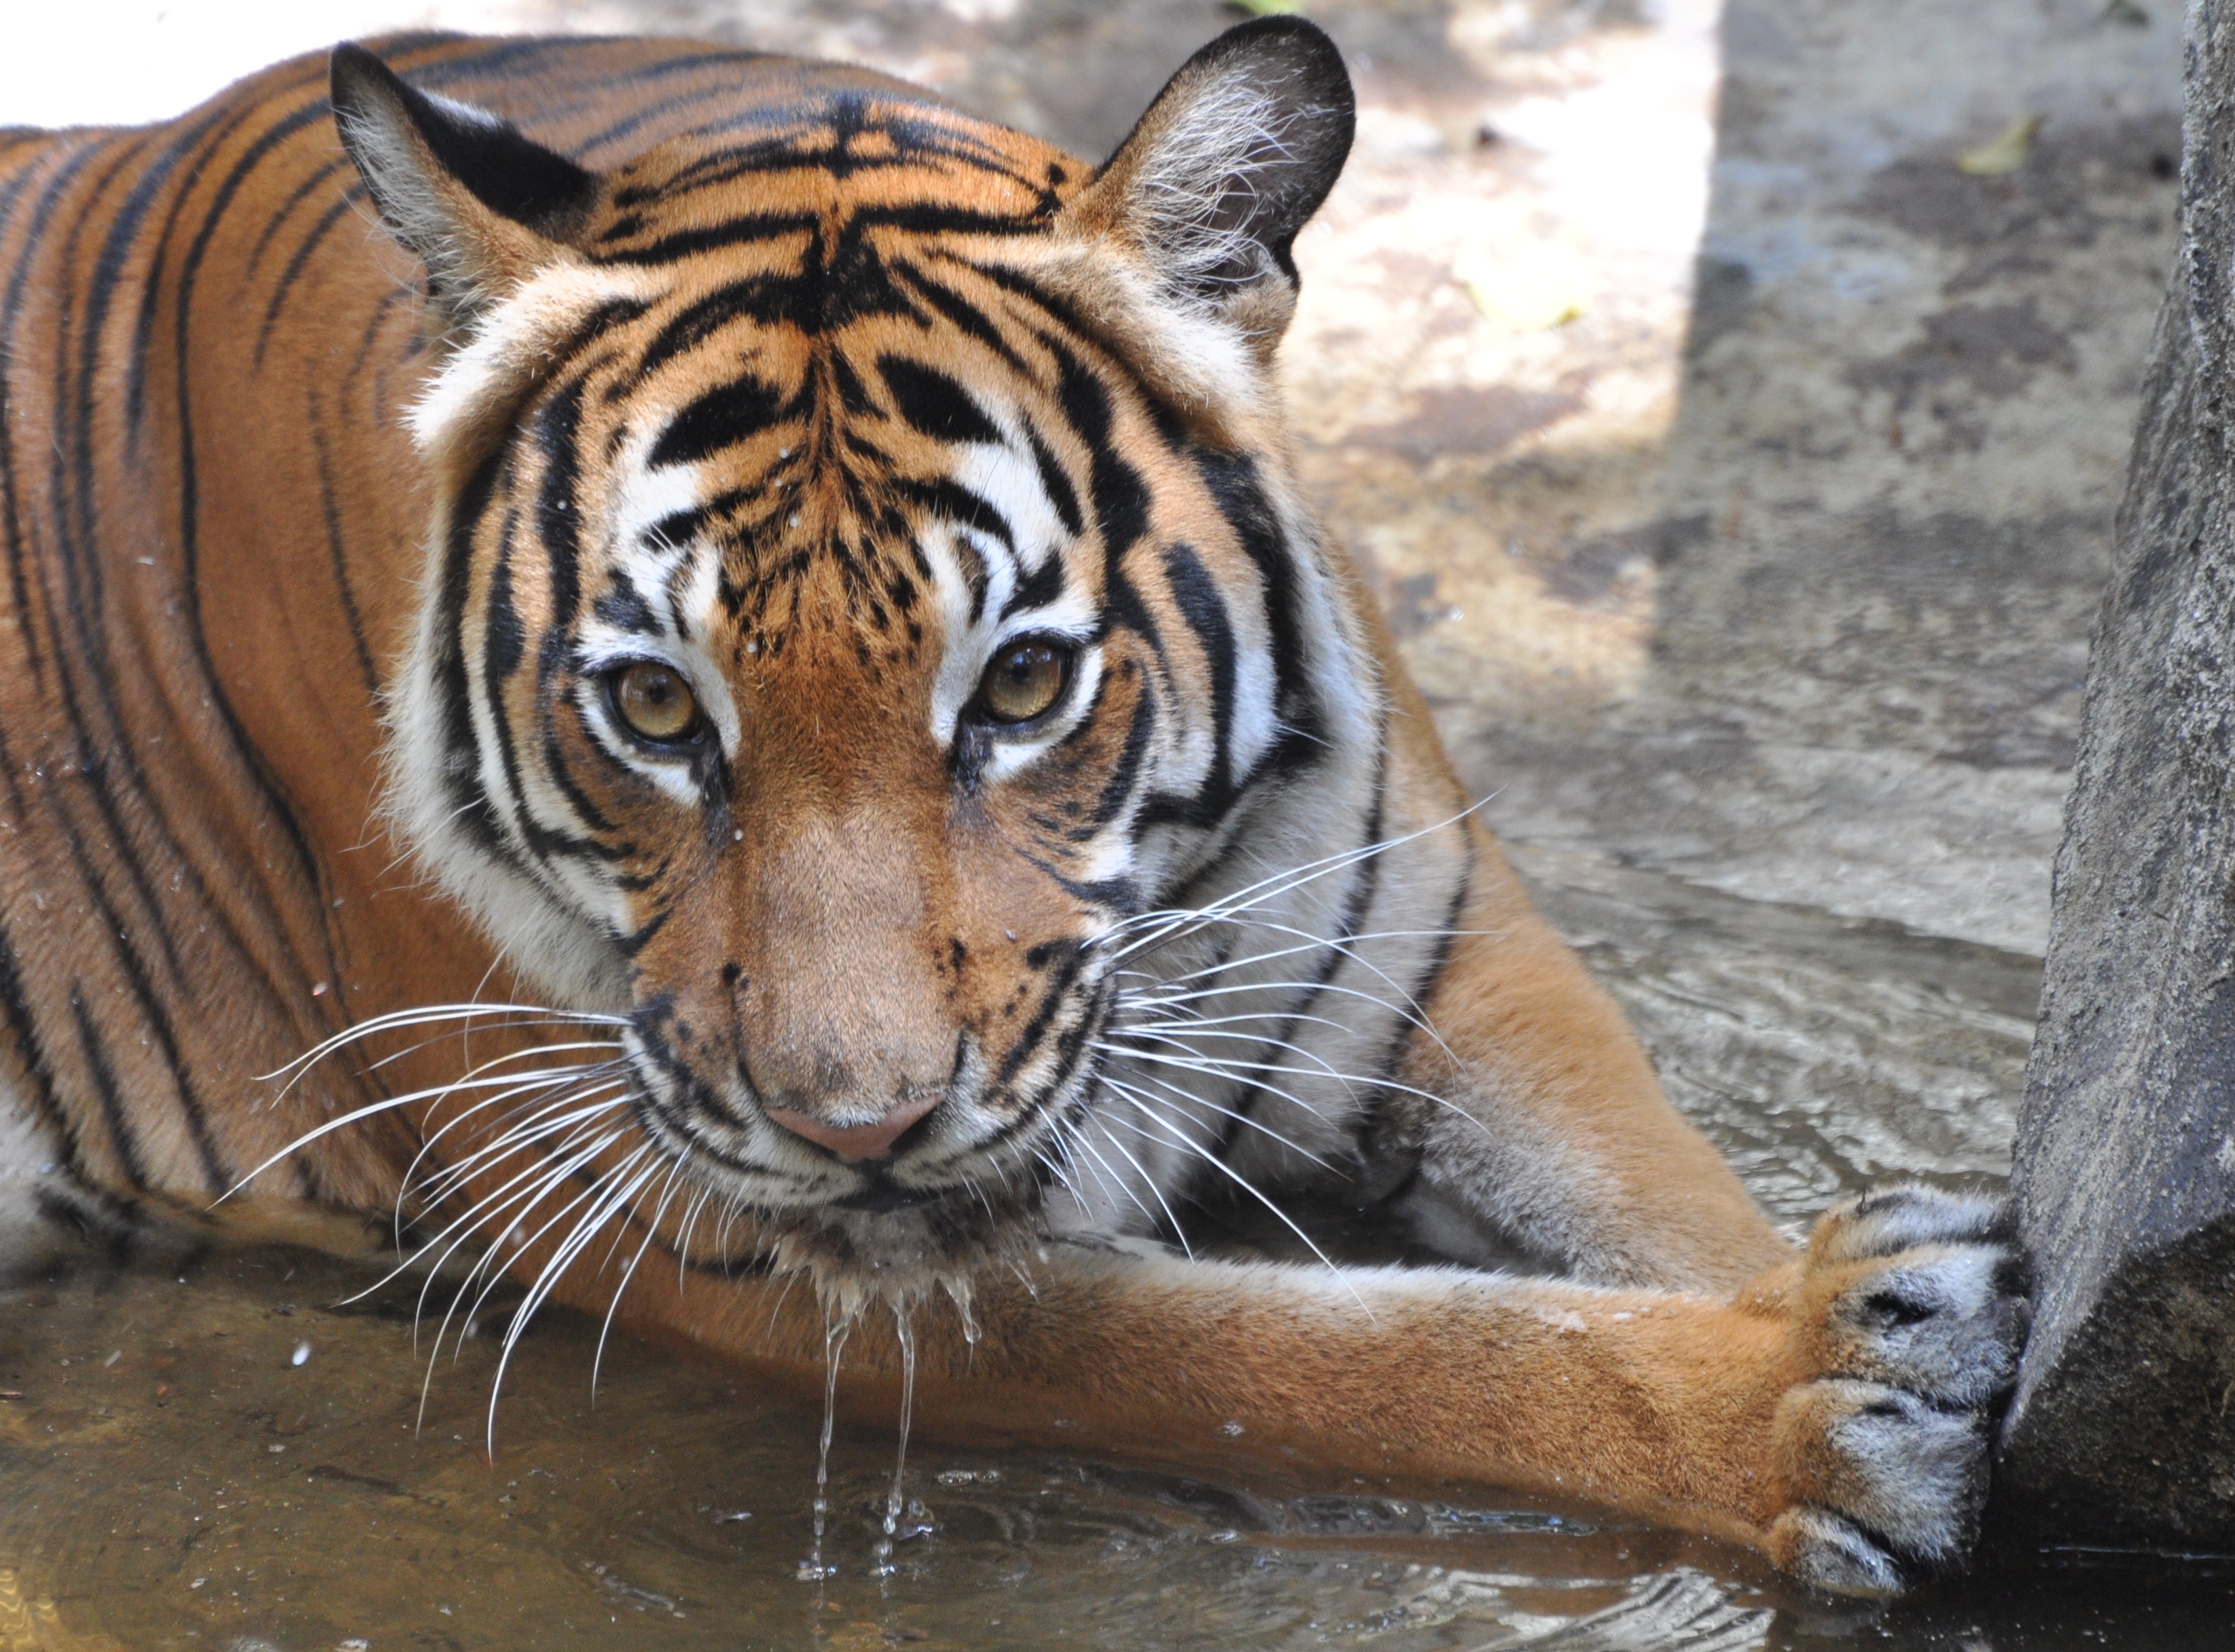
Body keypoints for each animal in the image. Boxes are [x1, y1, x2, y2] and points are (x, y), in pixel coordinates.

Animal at [0, 18, 2025, 1596]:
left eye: (1025, 687)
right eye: (653, 706)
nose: (858, 1126)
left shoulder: (1451, 968)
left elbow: (1655, 1193)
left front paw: (1872, 1308)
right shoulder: (716, 1228)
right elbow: (1372, 1355)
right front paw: (1812, 1399)